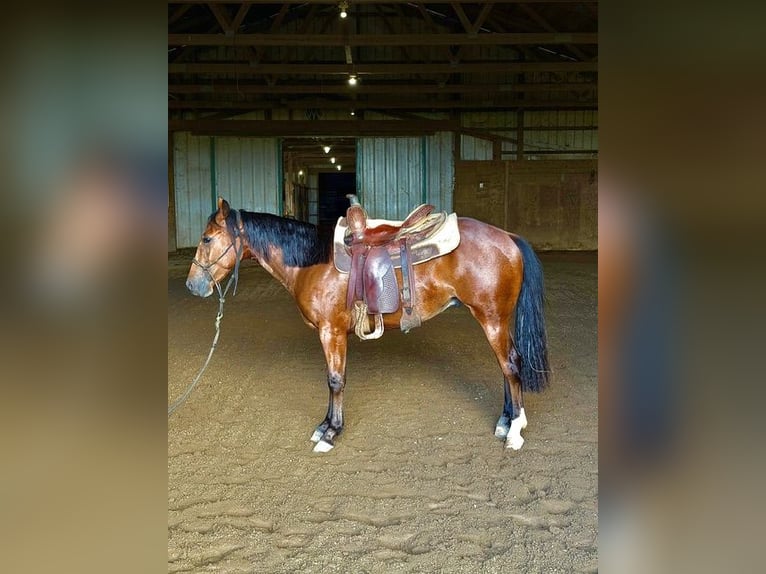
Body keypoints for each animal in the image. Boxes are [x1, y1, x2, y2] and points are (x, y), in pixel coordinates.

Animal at [186, 197, 550, 453]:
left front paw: (331, 433)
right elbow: (332, 379)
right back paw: (505, 422)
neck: (313, 262)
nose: (192, 285)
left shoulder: (331, 332)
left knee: (511, 365)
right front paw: (324, 426)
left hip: (492, 319)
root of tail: (508, 237)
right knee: (505, 367)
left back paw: (515, 431)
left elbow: (335, 380)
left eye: (206, 239)